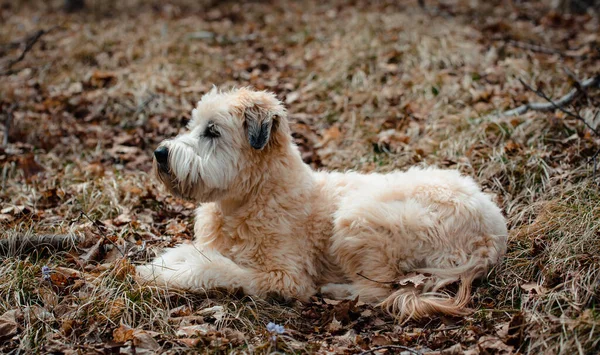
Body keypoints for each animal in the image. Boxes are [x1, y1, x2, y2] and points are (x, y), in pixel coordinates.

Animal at [137, 87, 506, 322]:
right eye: (192, 125)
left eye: (212, 131)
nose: (160, 153)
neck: (252, 197)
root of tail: (492, 232)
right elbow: (189, 253)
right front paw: (157, 266)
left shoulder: (284, 276)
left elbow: (215, 267)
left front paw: (164, 275)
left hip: (359, 217)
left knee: (378, 289)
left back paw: (335, 290)